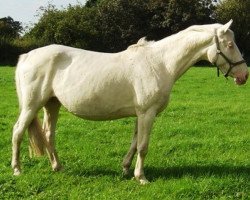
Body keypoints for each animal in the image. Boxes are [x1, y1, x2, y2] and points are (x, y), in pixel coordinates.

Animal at [11, 19, 248, 184]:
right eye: (229, 44)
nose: (244, 75)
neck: (159, 63)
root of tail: (26, 56)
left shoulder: (140, 114)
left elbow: (134, 143)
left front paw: (125, 169)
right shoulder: (147, 113)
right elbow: (143, 146)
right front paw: (141, 177)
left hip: (52, 104)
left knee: (49, 134)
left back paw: (57, 167)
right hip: (31, 106)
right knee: (18, 132)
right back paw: (17, 169)